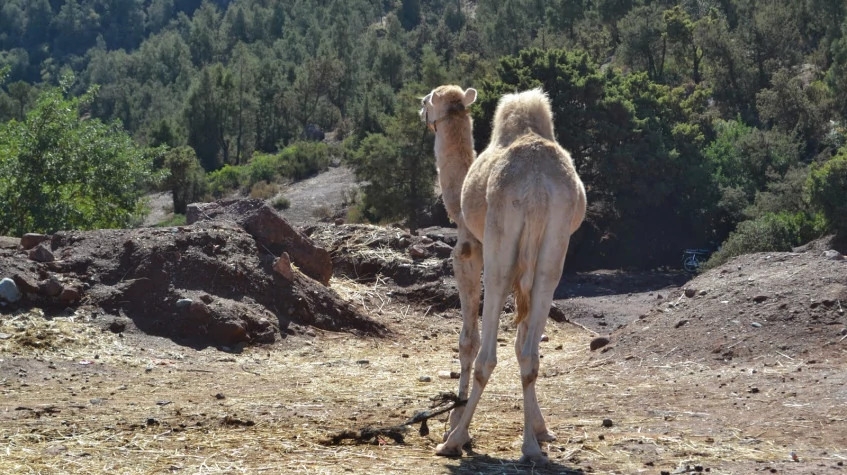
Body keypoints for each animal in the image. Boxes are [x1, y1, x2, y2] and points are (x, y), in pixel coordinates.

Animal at [420, 85, 586, 464]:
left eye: (427, 101)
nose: (422, 113)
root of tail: (537, 187)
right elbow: (521, 342)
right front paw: (541, 429)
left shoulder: (469, 249)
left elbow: (468, 340)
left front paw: (454, 421)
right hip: (552, 252)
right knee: (530, 353)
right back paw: (530, 448)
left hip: (499, 247)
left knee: (487, 354)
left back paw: (454, 441)